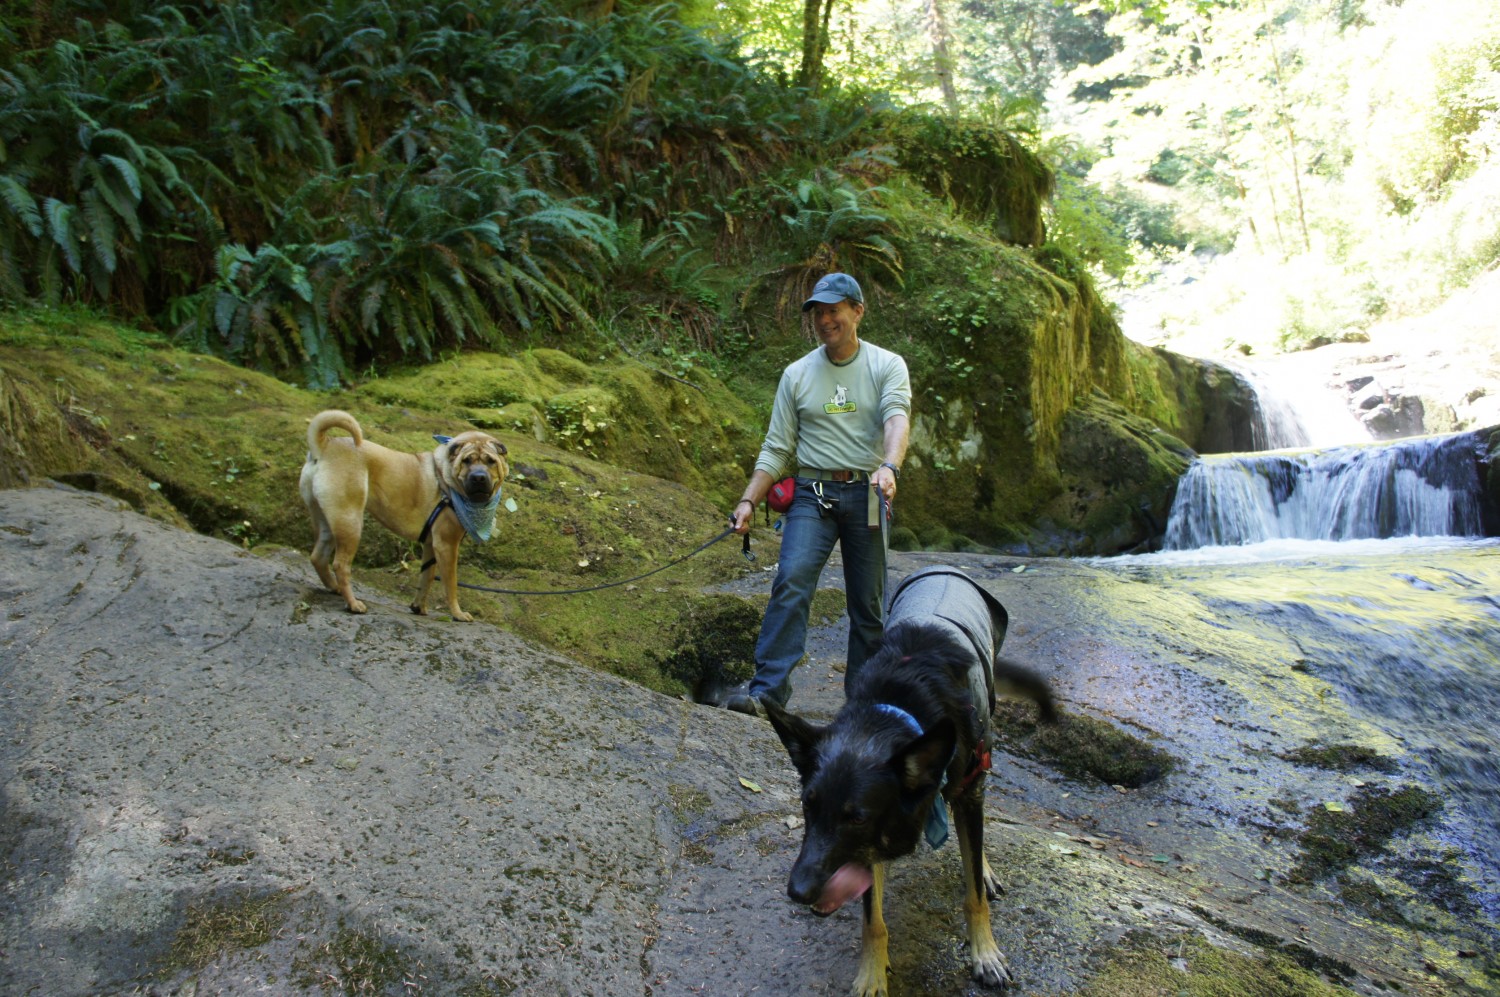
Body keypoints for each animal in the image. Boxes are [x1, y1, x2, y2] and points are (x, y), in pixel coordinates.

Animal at [298, 407, 510, 617]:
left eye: (490, 461)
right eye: (466, 460)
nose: (478, 477)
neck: (446, 478)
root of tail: (325, 445)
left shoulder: (431, 545)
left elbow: (427, 577)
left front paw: (419, 607)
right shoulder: (447, 545)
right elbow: (451, 584)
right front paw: (457, 614)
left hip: (327, 521)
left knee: (318, 557)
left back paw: (334, 588)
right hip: (350, 523)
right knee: (340, 565)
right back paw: (353, 603)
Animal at [762, 566, 1056, 995]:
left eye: (857, 817)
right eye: (807, 804)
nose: (797, 892)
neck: (897, 707)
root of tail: (947, 570)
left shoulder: (960, 790)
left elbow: (973, 896)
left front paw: (984, 952)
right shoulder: (868, 848)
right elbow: (873, 920)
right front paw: (871, 974)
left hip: (979, 763)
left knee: (976, 827)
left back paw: (983, 869)